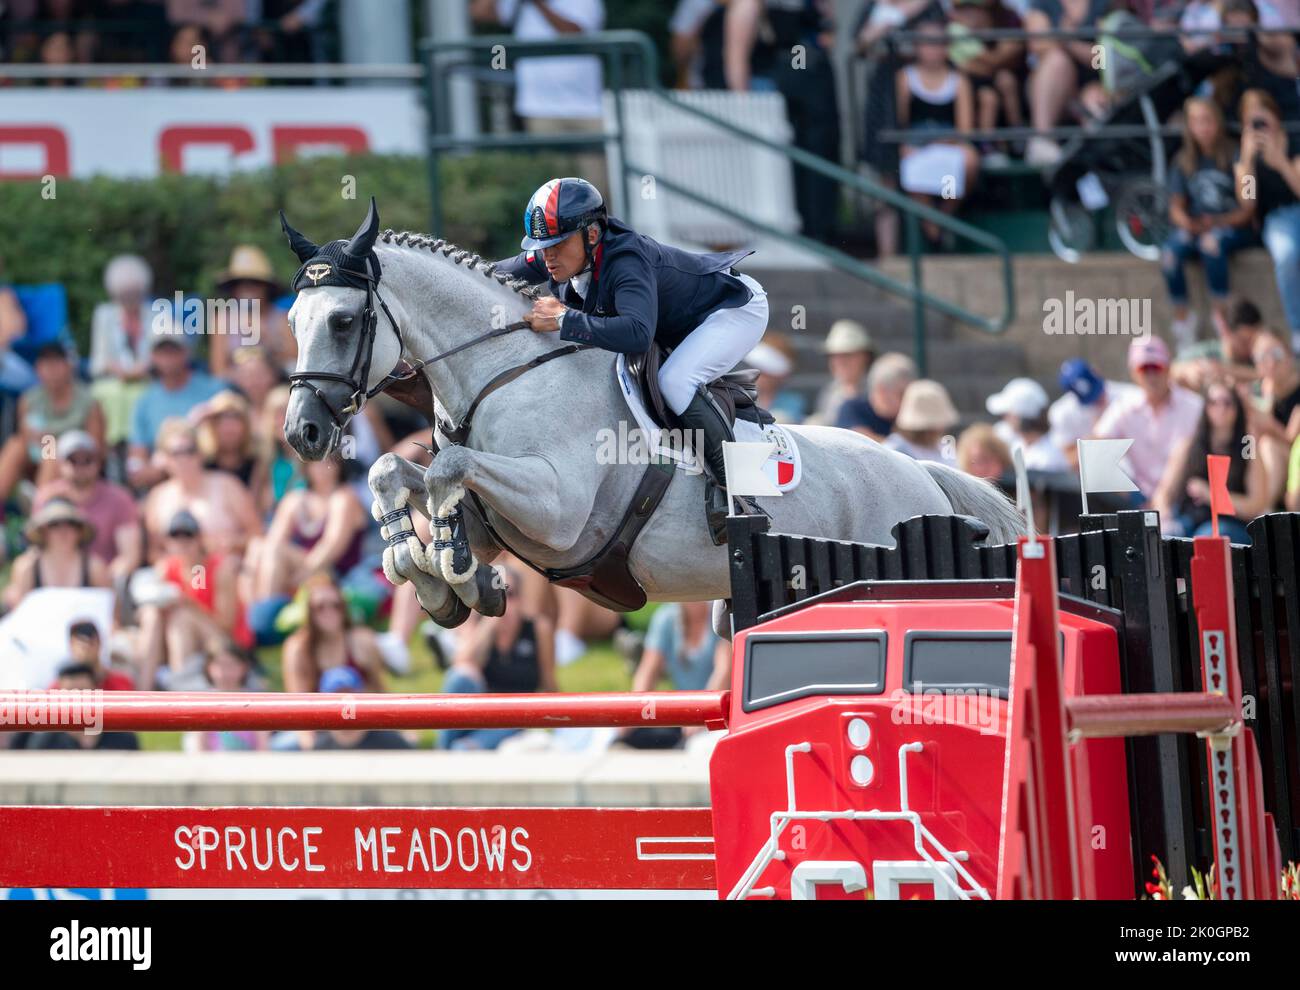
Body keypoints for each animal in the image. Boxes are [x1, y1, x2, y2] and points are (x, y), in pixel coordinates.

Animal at [279, 200, 1019, 628]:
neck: (505, 373)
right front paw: (427, 572)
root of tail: (922, 474)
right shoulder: (501, 520)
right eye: (291, 321)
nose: (302, 432)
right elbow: (395, 473)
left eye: (343, 321)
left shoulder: (558, 510)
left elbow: (446, 470)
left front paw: (451, 570)